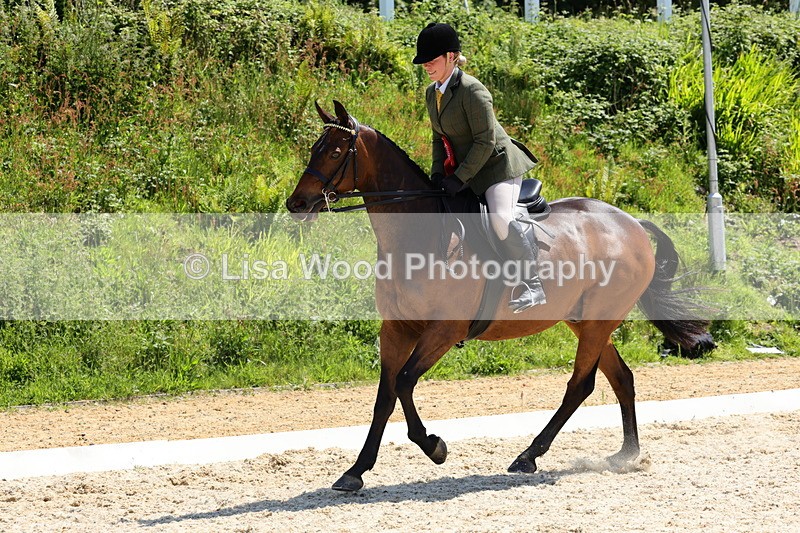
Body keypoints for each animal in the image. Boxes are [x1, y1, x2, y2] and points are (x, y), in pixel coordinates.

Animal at [286, 100, 714, 492]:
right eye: (315, 148)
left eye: (335, 152)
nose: (297, 204)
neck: (418, 236)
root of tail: (631, 223)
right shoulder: (395, 329)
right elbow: (385, 397)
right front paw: (355, 471)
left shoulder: (443, 330)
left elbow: (405, 382)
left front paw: (434, 447)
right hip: (586, 321)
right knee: (620, 377)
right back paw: (626, 454)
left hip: (598, 321)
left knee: (580, 385)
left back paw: (529, 456)